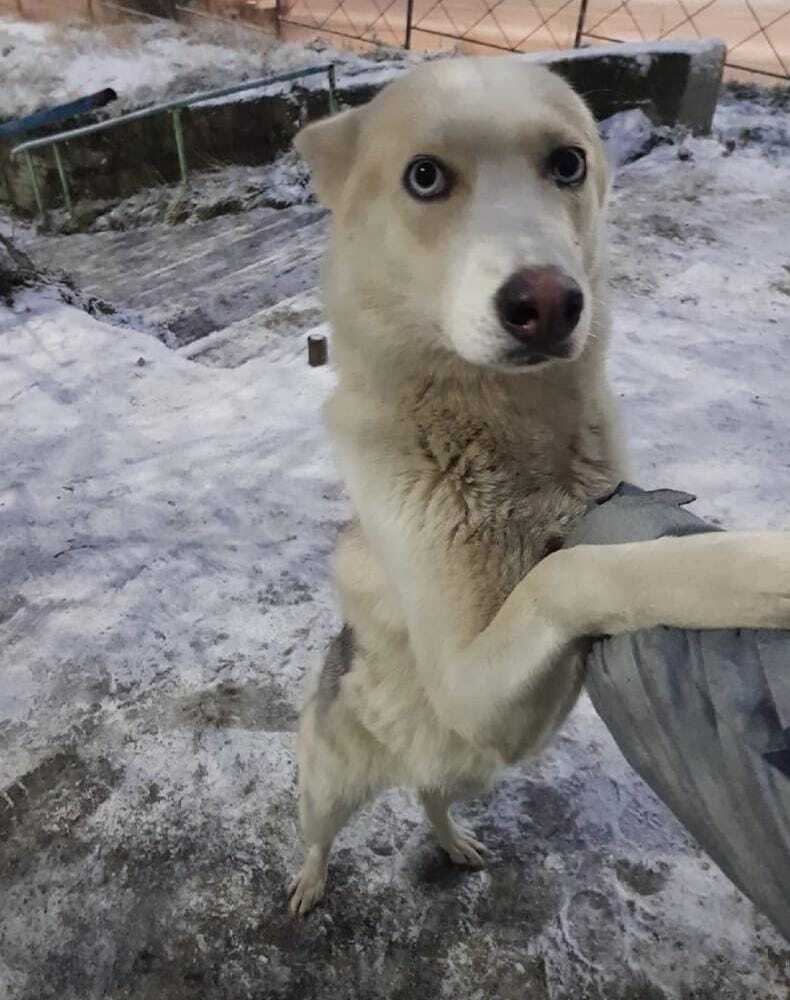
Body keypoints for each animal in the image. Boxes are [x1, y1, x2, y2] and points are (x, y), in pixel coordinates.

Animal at [288, 56, 790, 916]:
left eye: (568, 163)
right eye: (424, 176)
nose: (548, 304)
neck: (500, 435)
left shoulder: (514, 717)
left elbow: (567, 564)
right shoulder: (468, 684)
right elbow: (574, 572)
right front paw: (760, 568)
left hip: (470, 767)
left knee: (430, 796)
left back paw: (453, 841)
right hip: (330, 777)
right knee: (321, 827)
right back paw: (309, 882)